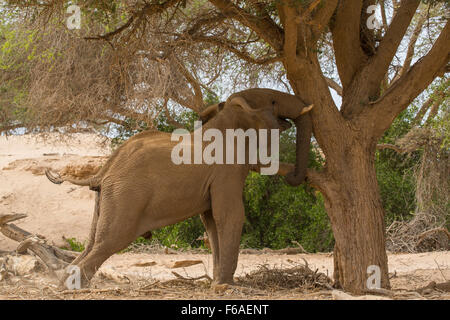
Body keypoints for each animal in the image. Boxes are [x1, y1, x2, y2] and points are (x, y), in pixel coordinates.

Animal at [45, 88, 312, 288]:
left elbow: (212, 222)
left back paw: (62, 285)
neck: (229, 114)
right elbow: (230, 215)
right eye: (273, 101)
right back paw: (73, 288)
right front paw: (227, 286)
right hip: (126, 196)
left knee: (93, 242)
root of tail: (105, 169)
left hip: (108, 198)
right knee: (110, 242)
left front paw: (218, 283)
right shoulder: (227, 170)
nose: (294, 177)